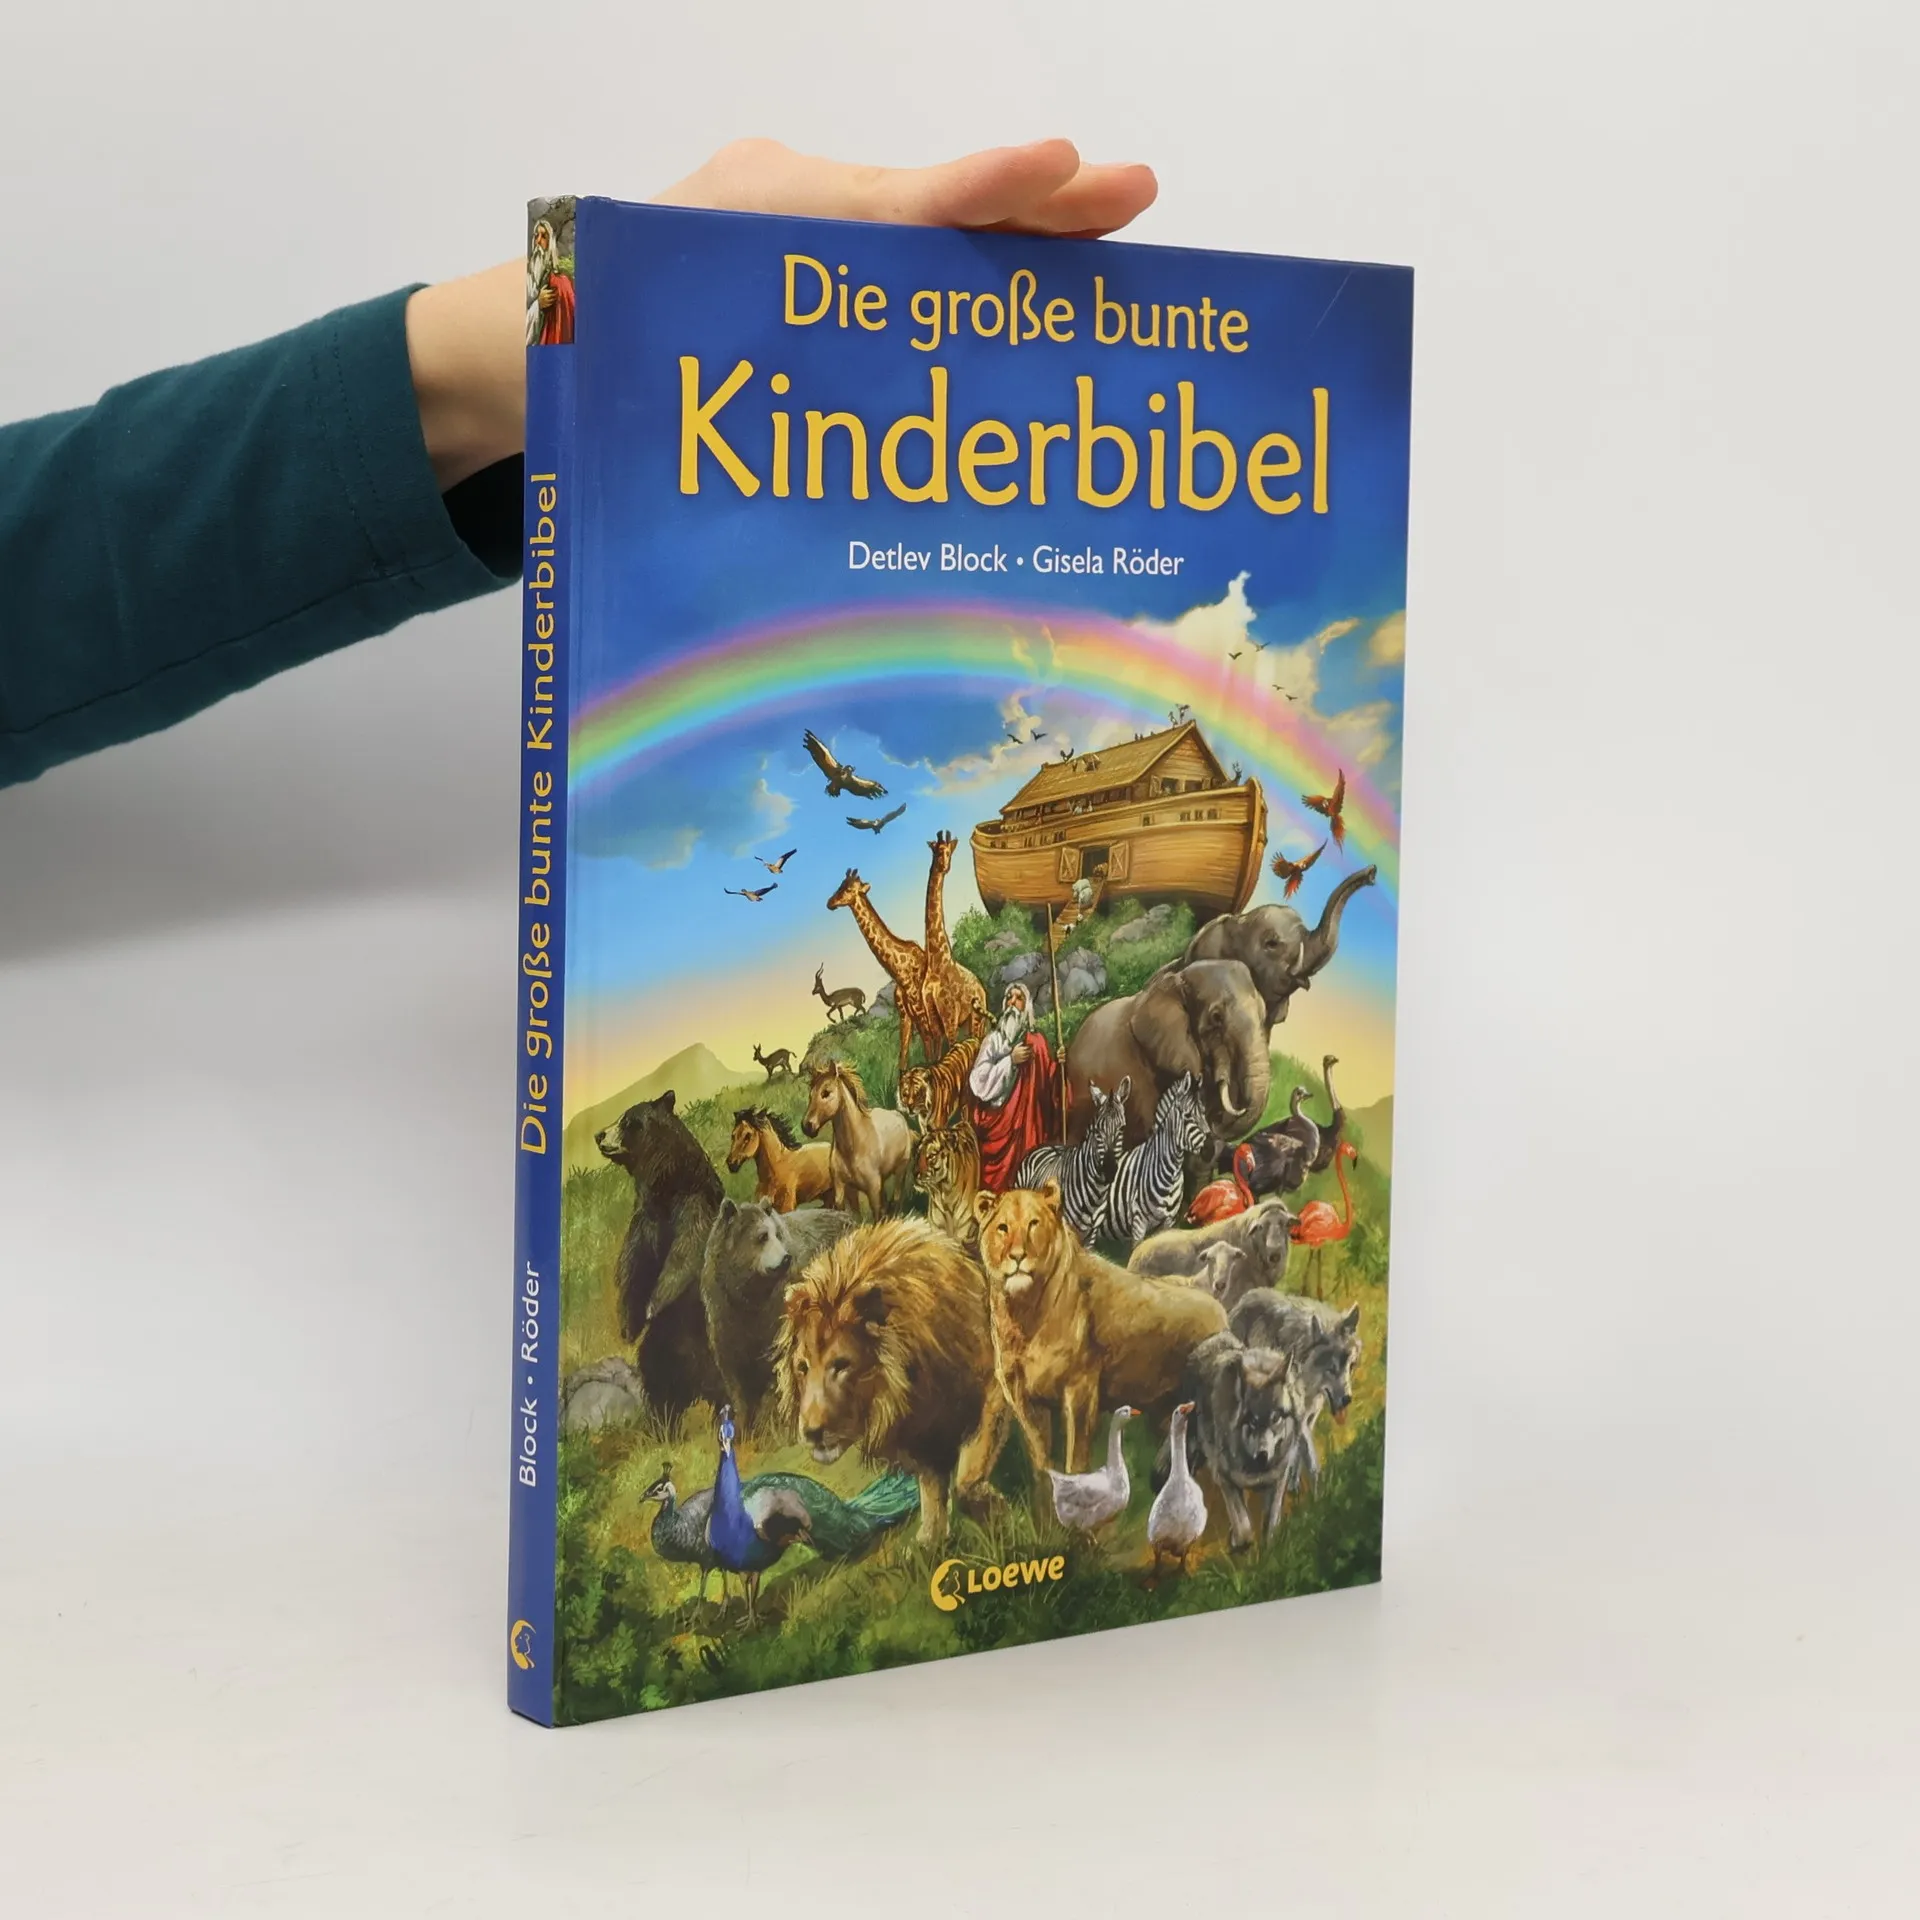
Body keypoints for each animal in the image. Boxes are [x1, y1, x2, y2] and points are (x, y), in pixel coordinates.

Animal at [776, 1215, 1008, 1543]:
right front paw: (931, 1539)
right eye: (802, 1368)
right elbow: (931, 1486)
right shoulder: (920, 1430)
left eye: (841, 1365)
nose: (812, 1432)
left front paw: (994, 1509)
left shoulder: (993, 1390)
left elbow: (967, 1477)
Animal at [826, 869, 935, 1083]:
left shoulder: (921, 1012)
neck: (899, 971)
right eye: (840, 885)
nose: (830, 902)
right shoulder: (905, 1015)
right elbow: (903, 1058)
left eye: (849, 889)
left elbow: (931, 1053)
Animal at [922, 830, 990, 1051]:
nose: (944, 866)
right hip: (969, 1022)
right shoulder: (935, 1021)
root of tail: (983, 990)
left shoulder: (950, 1015)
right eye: (936, 851)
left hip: (976, 1019)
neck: (937, 962)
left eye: (948, 851)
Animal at [973, 1180, 1228, 1476]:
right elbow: (1043, 1467)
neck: (1023, 1313)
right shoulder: (1025, 1400)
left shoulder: (1081, 1392)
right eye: (1002, 1227)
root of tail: (1222, 1313)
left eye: (1033, 1224)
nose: (1017, 1256)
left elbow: (1075, 1464)